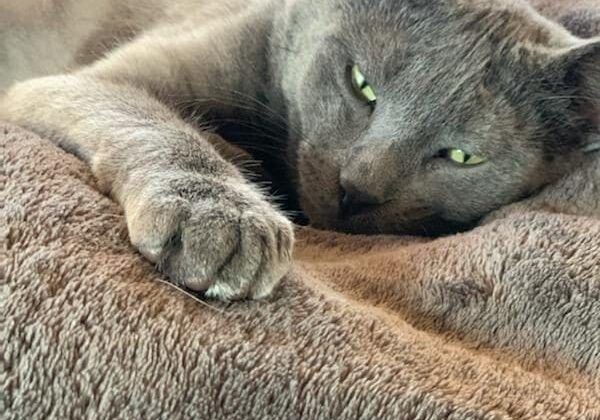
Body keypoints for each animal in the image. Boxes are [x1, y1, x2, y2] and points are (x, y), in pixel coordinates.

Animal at [1, 1, 600, 300]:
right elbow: (148, 117)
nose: (357, 187)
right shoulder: (74, 82)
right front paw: (225, 216)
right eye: (361, 84)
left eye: (461, 157)